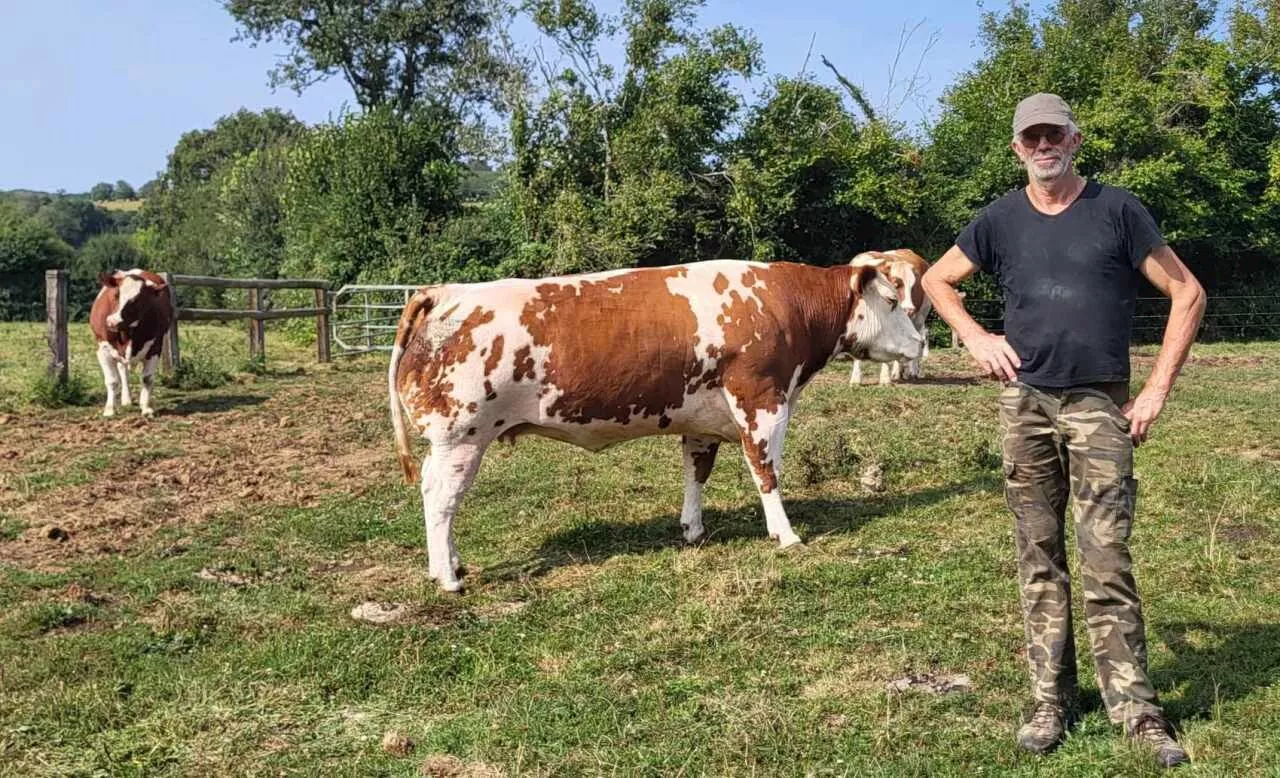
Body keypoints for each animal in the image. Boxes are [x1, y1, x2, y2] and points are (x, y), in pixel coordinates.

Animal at [90, 268, 175, 419]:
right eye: (116, 294)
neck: (126, 334)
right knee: (123, 371)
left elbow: (147, 378)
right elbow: (112, 381)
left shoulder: (155, 348)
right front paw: (109, 409)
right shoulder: (103, 350)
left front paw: (146, 407)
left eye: (137, 301)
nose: (112, 322)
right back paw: (126, 399)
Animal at [384, 255, 926, 588]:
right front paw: (786, 535)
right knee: (440, 496)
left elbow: (696, 473)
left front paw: (693, 529)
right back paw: (447, 576)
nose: (921, 342)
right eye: (892, 300)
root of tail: (442, 292)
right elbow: (766, 472)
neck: (783, 306)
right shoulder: (763, 403)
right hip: (460, 436)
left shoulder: (703, 419)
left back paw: (452, 563)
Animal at [844, 249, 936, 386]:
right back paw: (898, 372)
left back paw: (912, 371)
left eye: (913, 286)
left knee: (920, 338)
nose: (909, 309)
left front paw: (885, 379)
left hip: (920, 317)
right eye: (896, 284)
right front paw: (855, 379)